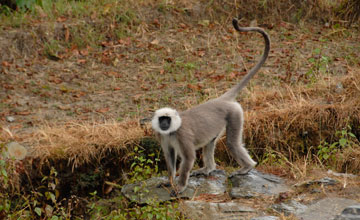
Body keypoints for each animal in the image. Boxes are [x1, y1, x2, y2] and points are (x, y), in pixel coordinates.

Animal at [151, 18, 270, 195]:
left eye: (167, 119)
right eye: (161, 119)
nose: (164, 124)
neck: (172, 130)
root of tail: (221, 100)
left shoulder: (182, 135)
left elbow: (188, 159)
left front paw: (180, 186)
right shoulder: (163, 135)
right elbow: (170, 157)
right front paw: (169, 181)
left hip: (235, 114)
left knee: (232, 143)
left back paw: (247, 168)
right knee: (209, 143)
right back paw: (208, 169)